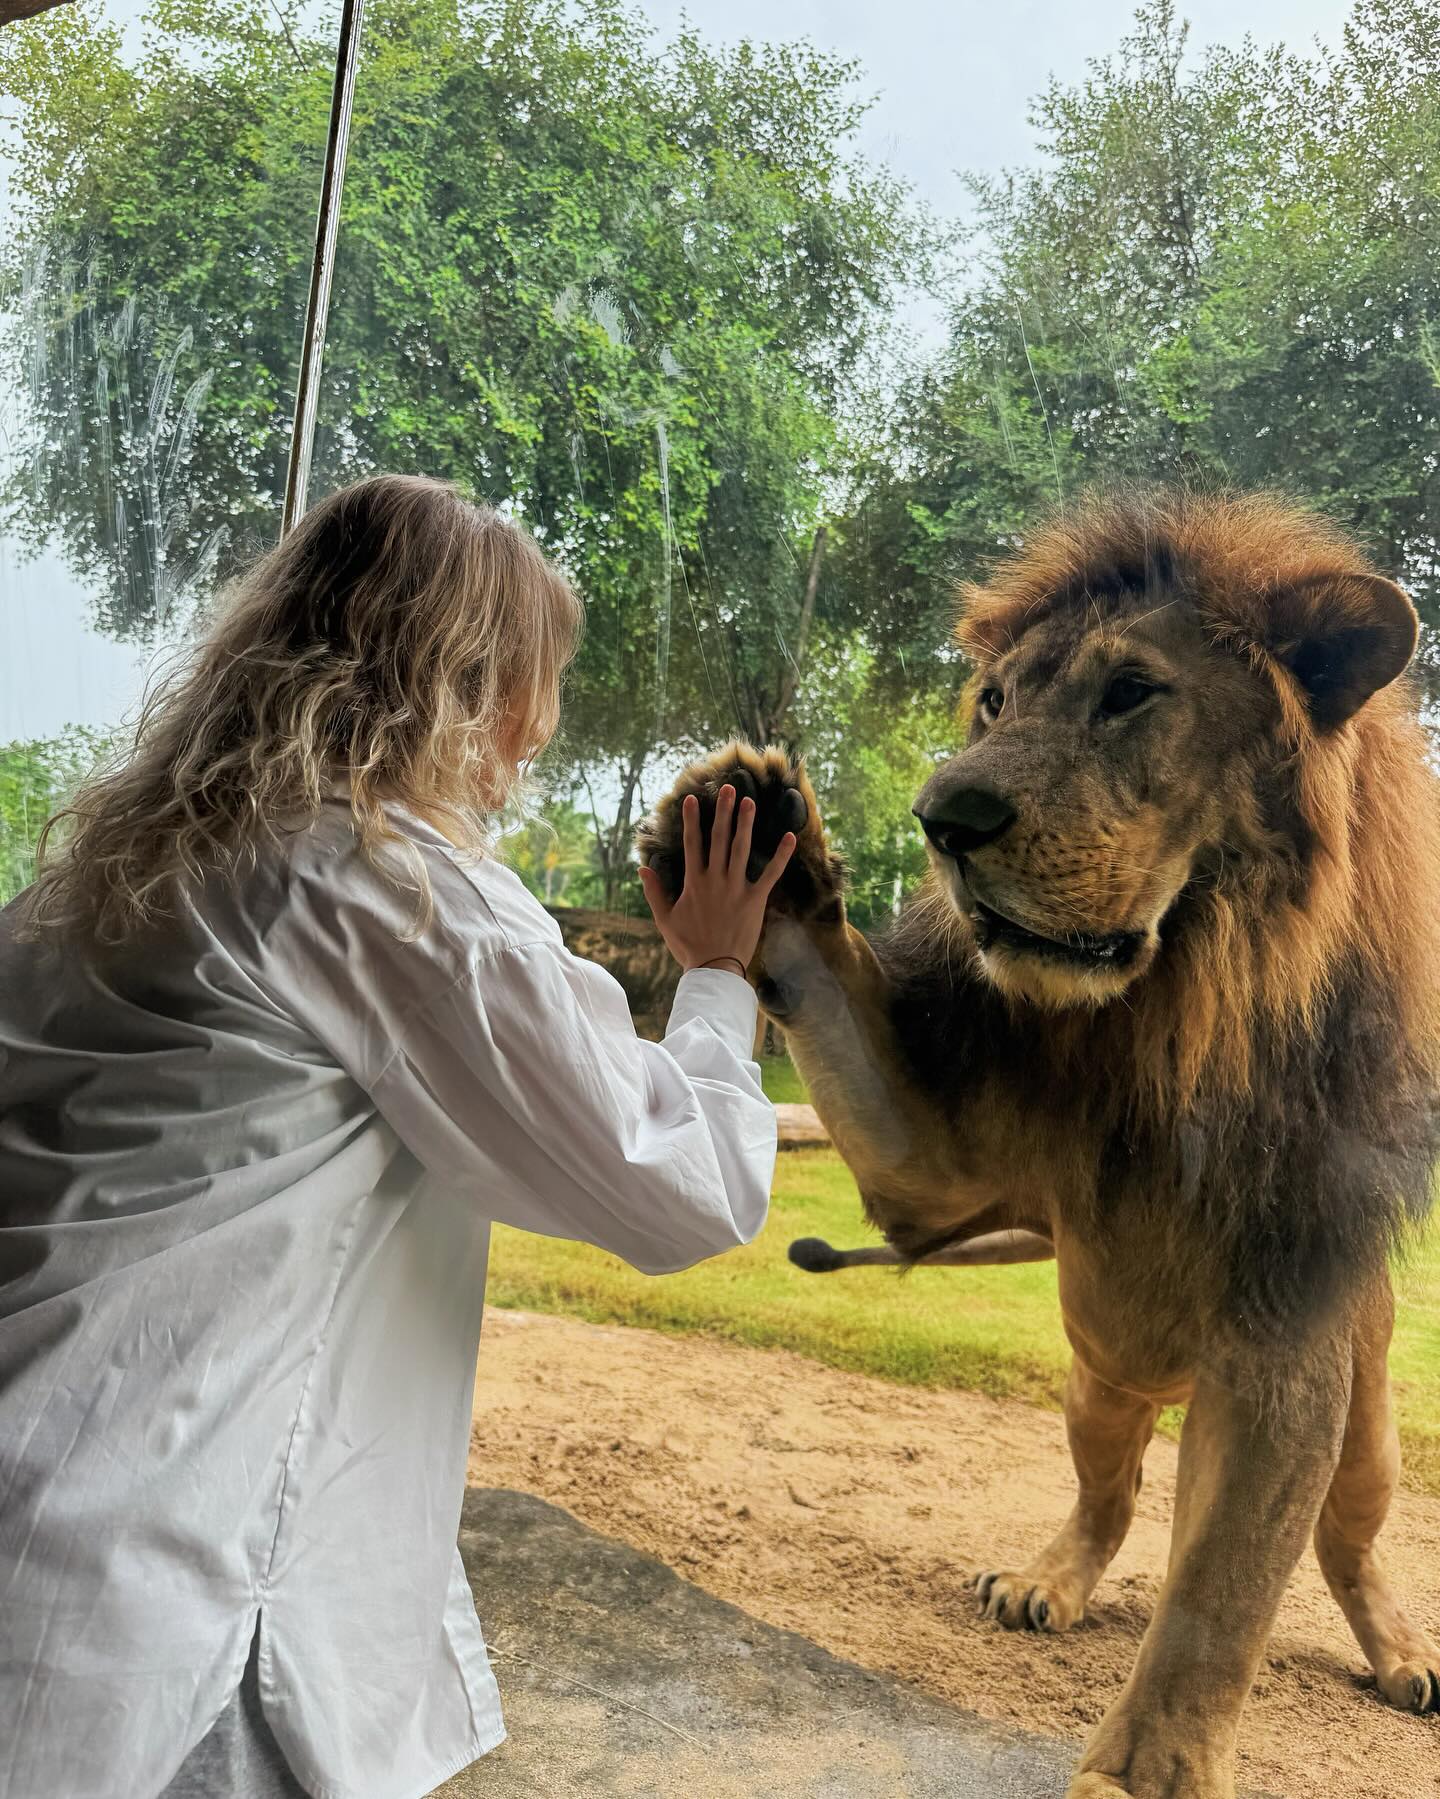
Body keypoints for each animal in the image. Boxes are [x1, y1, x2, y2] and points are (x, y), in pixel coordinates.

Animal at [637, 489, 1440, 1799]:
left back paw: (1404, 1651)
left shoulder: (1284, 1347)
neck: (1164, 1016)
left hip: (1365, 1416)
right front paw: (750, 836)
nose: (942, 819)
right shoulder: (938, 1157)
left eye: (1132, 693)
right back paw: (1044, 1582)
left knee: (1349, 1536)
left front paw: (1145, 1775)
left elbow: (1219, 1596)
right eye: (996, 702)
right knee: (1111, 1493)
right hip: (1096, 1381)